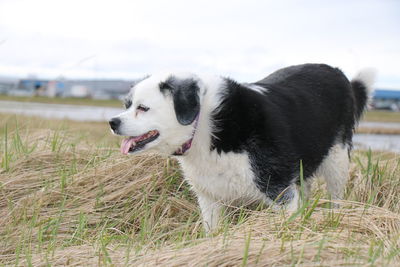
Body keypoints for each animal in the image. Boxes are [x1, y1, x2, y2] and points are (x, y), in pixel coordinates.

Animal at [109, 63, 376, 233]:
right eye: (127, 105)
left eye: (143, 108)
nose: (113, 122)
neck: (204, 124)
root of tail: (339, 73)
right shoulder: (209, 198)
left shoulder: (279, 190)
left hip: (337, 161)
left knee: (336, 197)